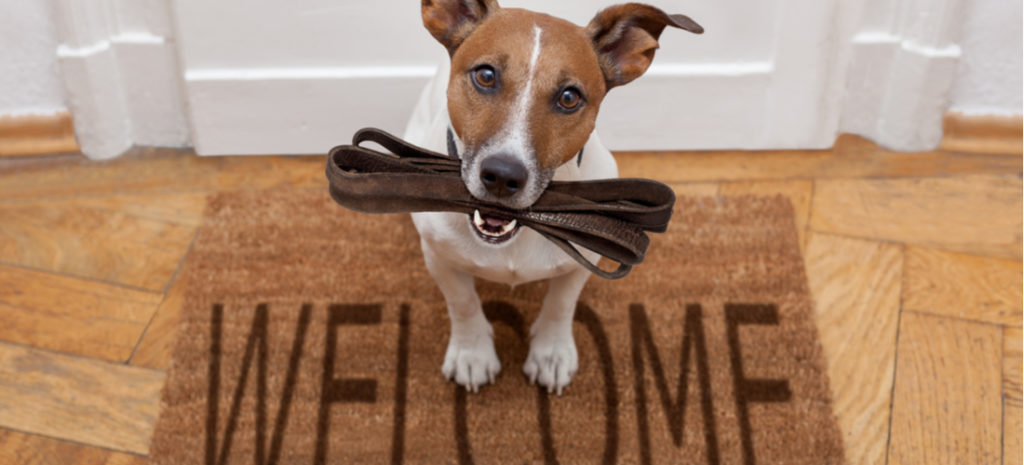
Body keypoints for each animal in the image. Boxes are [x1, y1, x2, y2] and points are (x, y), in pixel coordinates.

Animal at [403, 0, 700, 393]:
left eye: (569, 97)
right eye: (486, 75)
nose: (503, 176)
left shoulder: (582, 260)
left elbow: (561, 304)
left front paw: (551, 353)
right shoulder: (438, 256)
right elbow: (463, 301)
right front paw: (472, 353)